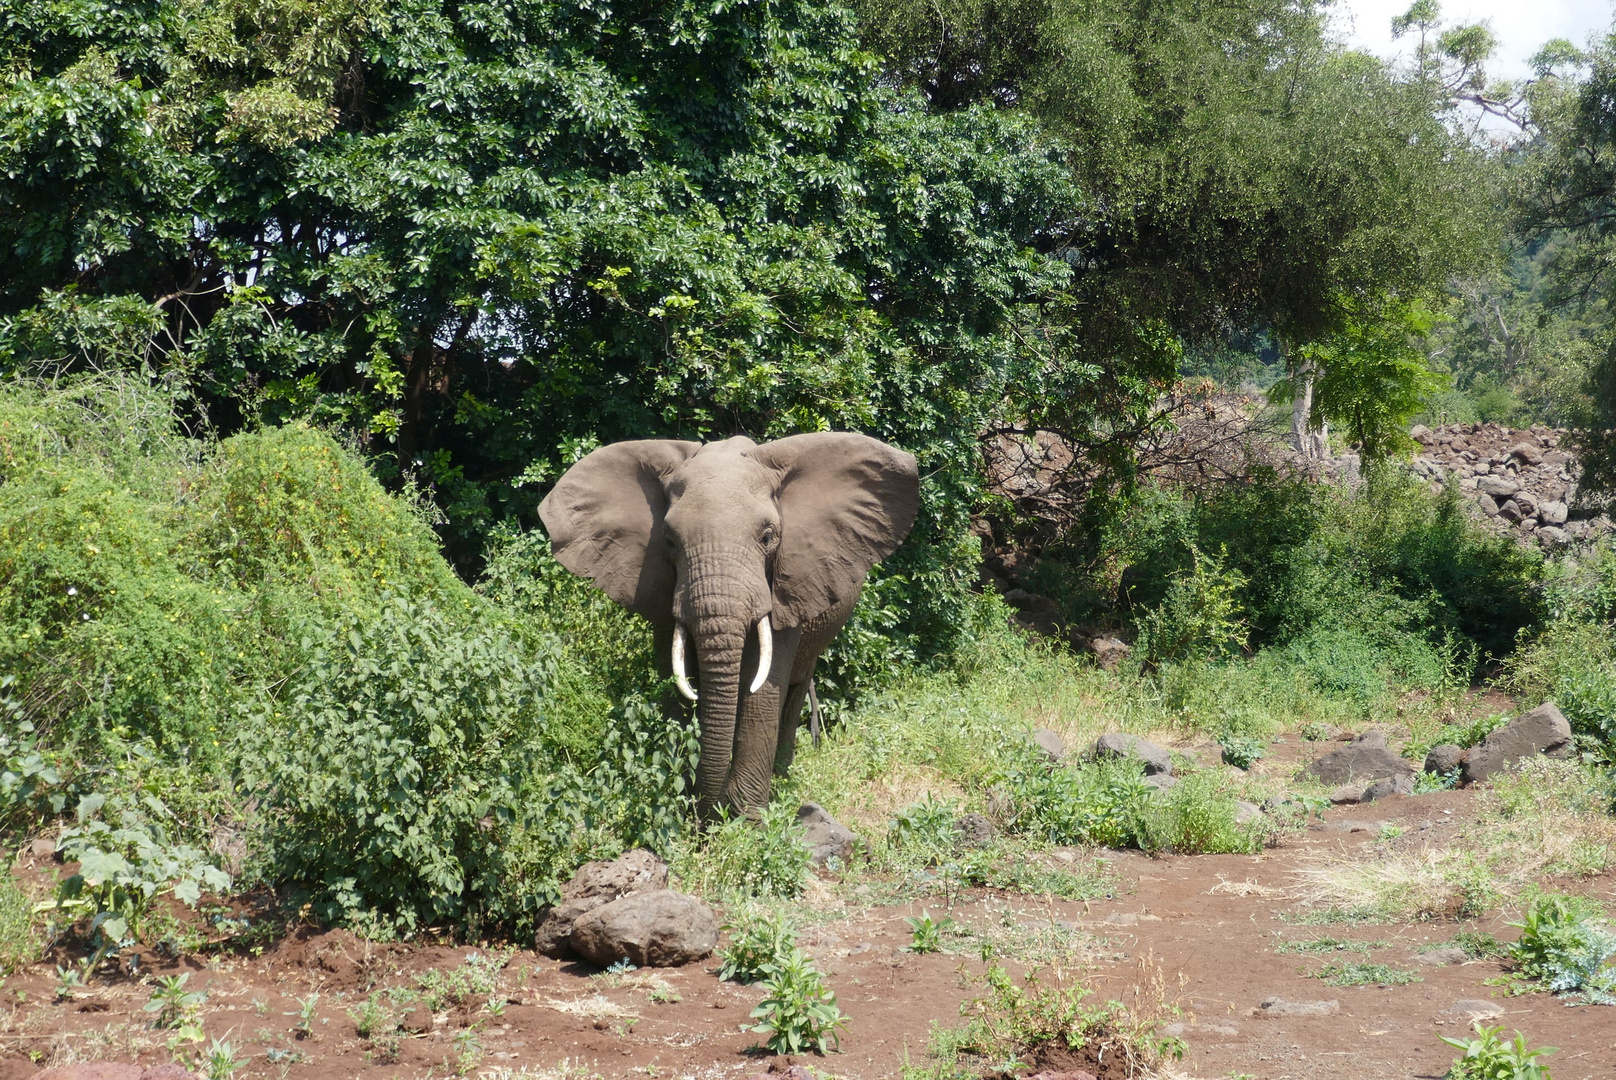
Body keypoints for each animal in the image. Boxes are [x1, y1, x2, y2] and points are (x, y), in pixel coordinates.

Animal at [539, 433, 917, 814]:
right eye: (669, 541)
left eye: (768, 537)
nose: (705, 809)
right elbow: (676, 679)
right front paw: (684, 803)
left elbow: (763, 687)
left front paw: (744, 818)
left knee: (796, 687)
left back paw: (782, 776)